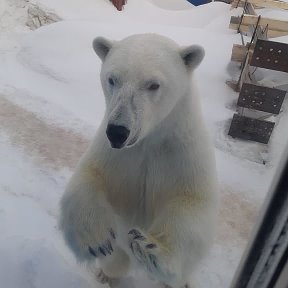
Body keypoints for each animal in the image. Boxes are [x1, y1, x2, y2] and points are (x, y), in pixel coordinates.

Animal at [60, 34, 218, 288]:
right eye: (112, 79)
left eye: (153, 84)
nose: (118, 132)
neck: (149, 140)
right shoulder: (116, 155)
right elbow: (90, 175)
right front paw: (96, 240)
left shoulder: (183, 153)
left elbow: (192, 202)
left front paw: (151, 247)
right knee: (116, 260)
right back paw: (106, 275)